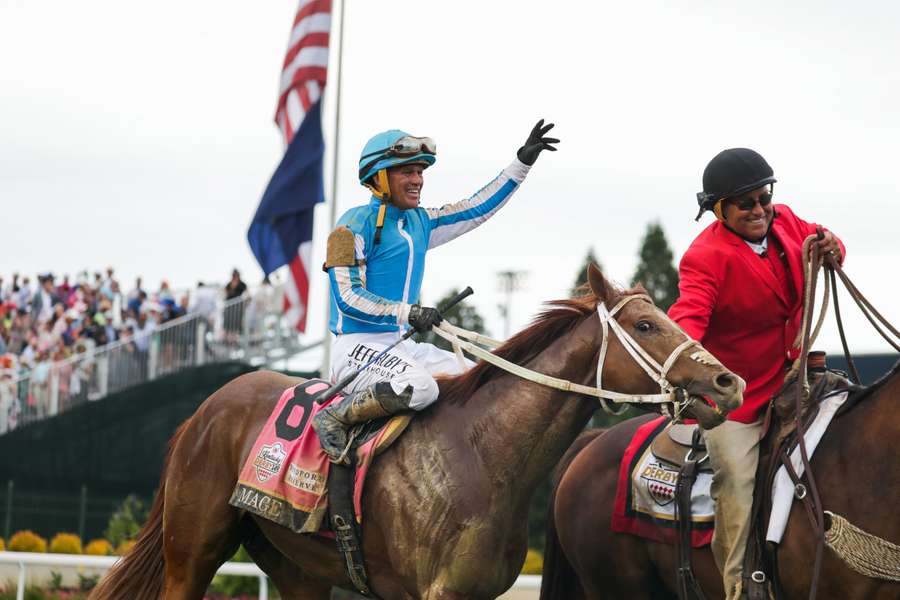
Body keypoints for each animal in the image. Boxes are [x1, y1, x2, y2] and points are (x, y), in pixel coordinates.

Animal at [89, 268, 744, 600]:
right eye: (646, 325)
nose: (727, 381)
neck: (485, 456)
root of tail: (205, 409)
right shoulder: (431, 595)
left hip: (299, 567)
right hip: (193, 550)